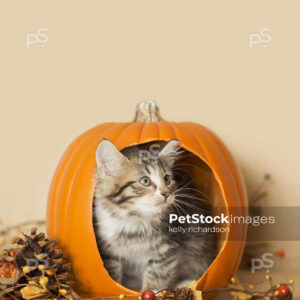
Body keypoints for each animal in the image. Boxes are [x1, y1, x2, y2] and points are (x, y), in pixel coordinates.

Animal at [94, 140, 216, 290]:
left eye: (167, 179)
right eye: (145, 181)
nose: (166, 193)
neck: (134, 219)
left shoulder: (165, 251)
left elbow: (156, 280)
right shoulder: (109, 252)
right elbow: (113, 275)